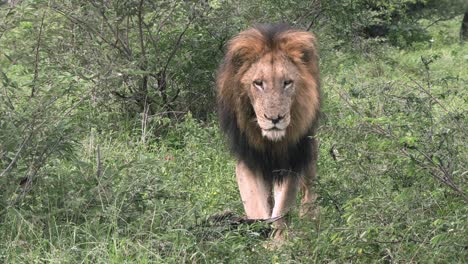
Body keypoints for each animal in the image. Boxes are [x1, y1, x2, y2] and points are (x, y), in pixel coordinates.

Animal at [217, 24, 322, 239]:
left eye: (287, 82)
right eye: (258, 83)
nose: (275, 118)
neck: (269, 142)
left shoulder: (291, 160)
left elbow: (281, 209)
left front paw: (278, 242)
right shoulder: (248, 161)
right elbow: (256, 206)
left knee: (309, 187)